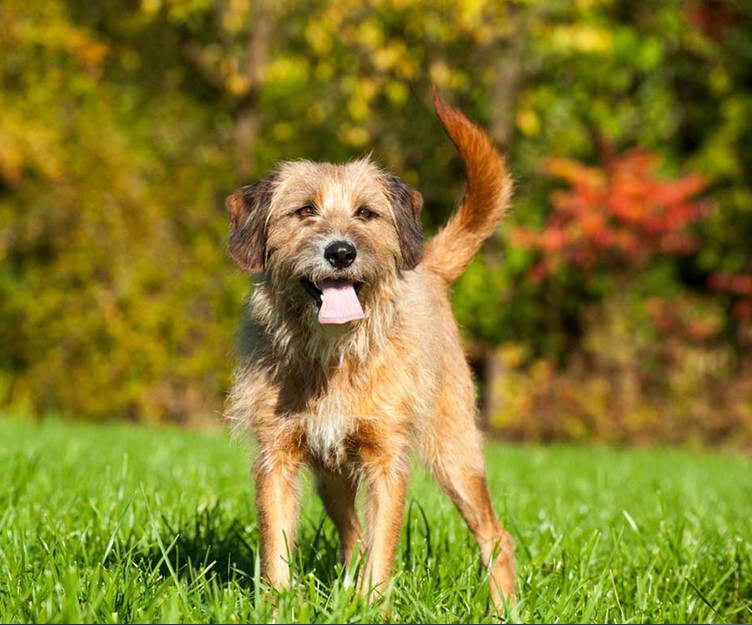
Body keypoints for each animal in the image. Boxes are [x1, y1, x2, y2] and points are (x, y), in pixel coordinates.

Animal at [225, 95, 516, 608]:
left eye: (366, 214)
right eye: (304, 211)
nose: (341, 252)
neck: (333, 356)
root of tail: (429, 268)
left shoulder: (386, 461)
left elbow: (383, 547)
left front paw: (372, 606)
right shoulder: (276, 458)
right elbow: (276, 544)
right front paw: (279, 606)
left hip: (456, 456)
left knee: (496, 537)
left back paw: (505, 609)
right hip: (331, 478)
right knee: (353, 533)